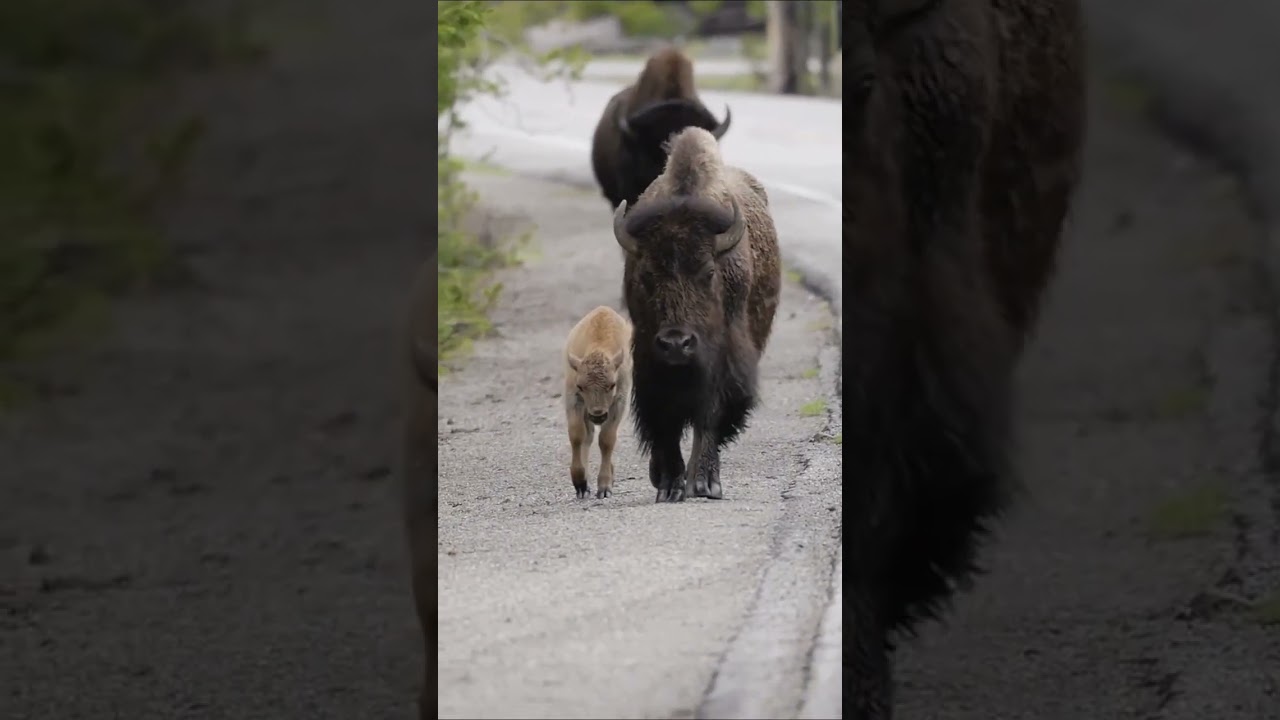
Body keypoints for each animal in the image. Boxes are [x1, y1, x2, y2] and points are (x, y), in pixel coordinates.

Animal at [563, 305, 634, 499]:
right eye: (580, 386)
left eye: (612, 384)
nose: (597, 414)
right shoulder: (573, 398)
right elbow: (577, 435)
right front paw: (580, 483)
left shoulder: (619, 402)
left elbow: (607, 440)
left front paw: (604, 487)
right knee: (587, 437)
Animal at [613, 126, 781, 504]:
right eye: (646, 276)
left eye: (708, 272)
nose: (677, 344)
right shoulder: (649, 362)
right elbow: (665, 420)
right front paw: (669, 486)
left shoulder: (725, 363)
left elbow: (710, 416)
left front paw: (703, 484)